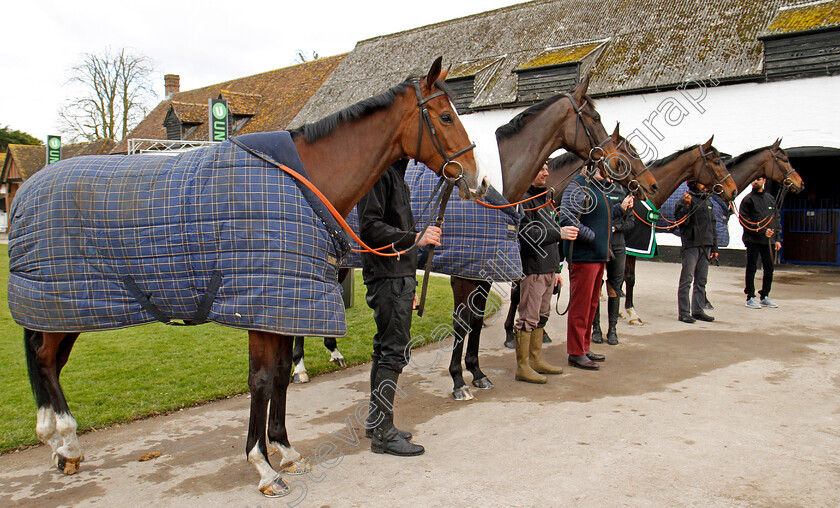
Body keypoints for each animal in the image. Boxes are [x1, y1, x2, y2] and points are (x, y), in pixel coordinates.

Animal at [13, 57, 488, 498]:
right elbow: (261, 380)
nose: (478, 179)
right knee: (44, 359)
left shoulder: (284, 304)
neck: (303, 183)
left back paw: (56, 444)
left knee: (49, 361)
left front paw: (285, 449)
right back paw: (66, 442)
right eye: (446, 116)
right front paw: (263, 466)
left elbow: (278, 375)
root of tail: (26, 191)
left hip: (71, 307)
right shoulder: (264, 307)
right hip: (60, 301)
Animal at [442, 76, 660, 400]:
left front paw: (477, 373)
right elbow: (461, 320)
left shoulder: (488, 268)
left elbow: (478, 319)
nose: (651, 185)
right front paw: (458, 380)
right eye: (595, 117)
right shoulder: (464, 269)